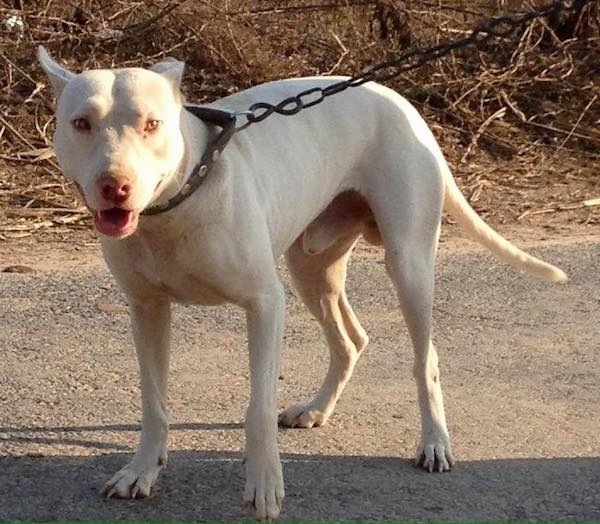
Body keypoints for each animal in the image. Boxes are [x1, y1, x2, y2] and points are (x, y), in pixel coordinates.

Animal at [38, 46, 568, 520]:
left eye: (151, 124)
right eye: (81, 123)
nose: (114, 185)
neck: (183, 196)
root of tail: (396, 97)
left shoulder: (264, 306)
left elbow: (257, 409)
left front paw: (264, 485)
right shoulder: (147, 310)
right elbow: (153, 401)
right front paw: (142, 469)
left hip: (409, 264)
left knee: (426, 360)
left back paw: (434, 442)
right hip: (311, 267)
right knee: (351, 340)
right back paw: (317, 408)